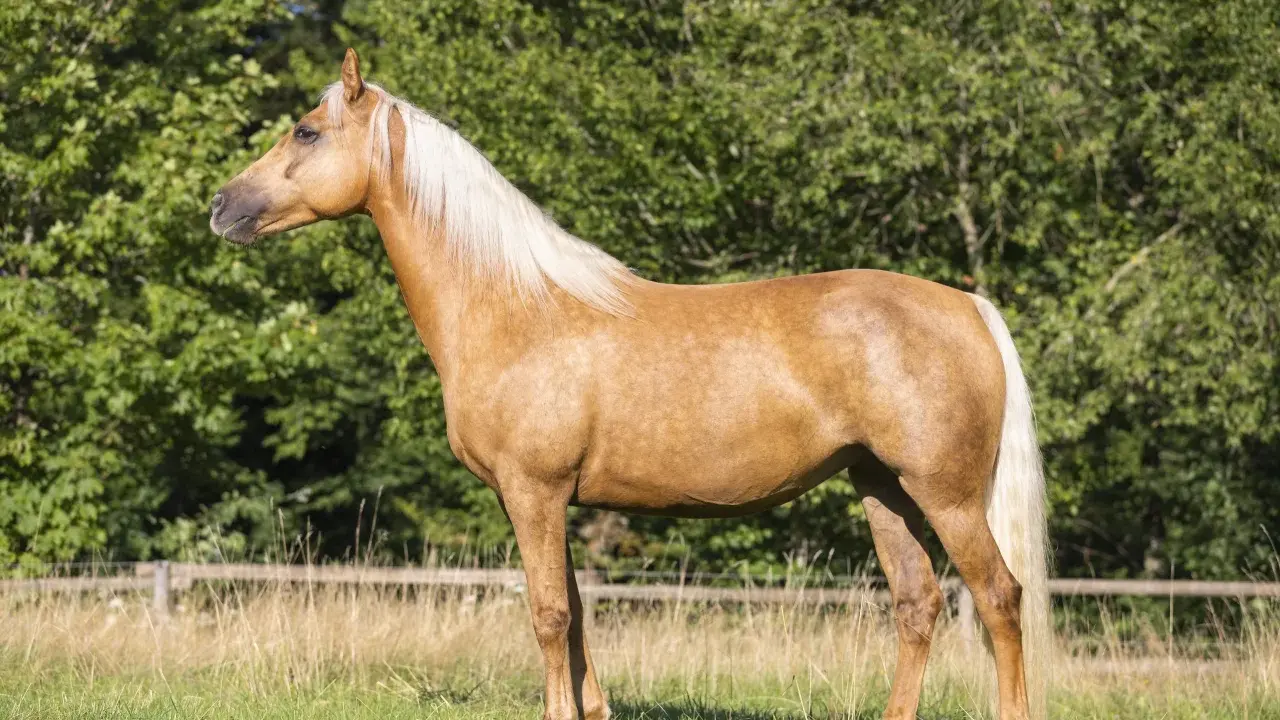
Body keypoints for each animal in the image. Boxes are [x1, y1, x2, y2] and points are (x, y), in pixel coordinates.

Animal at [210, 49, 1050, 720]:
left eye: (306, 132)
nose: (221, 207)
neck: (518, 308)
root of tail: (968, 306)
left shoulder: (535, 492)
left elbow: (550, 614)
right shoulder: (544, 501)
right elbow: (580, 612)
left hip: (945, 495)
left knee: (999, 598)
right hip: (883, 488)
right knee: (918, 604)